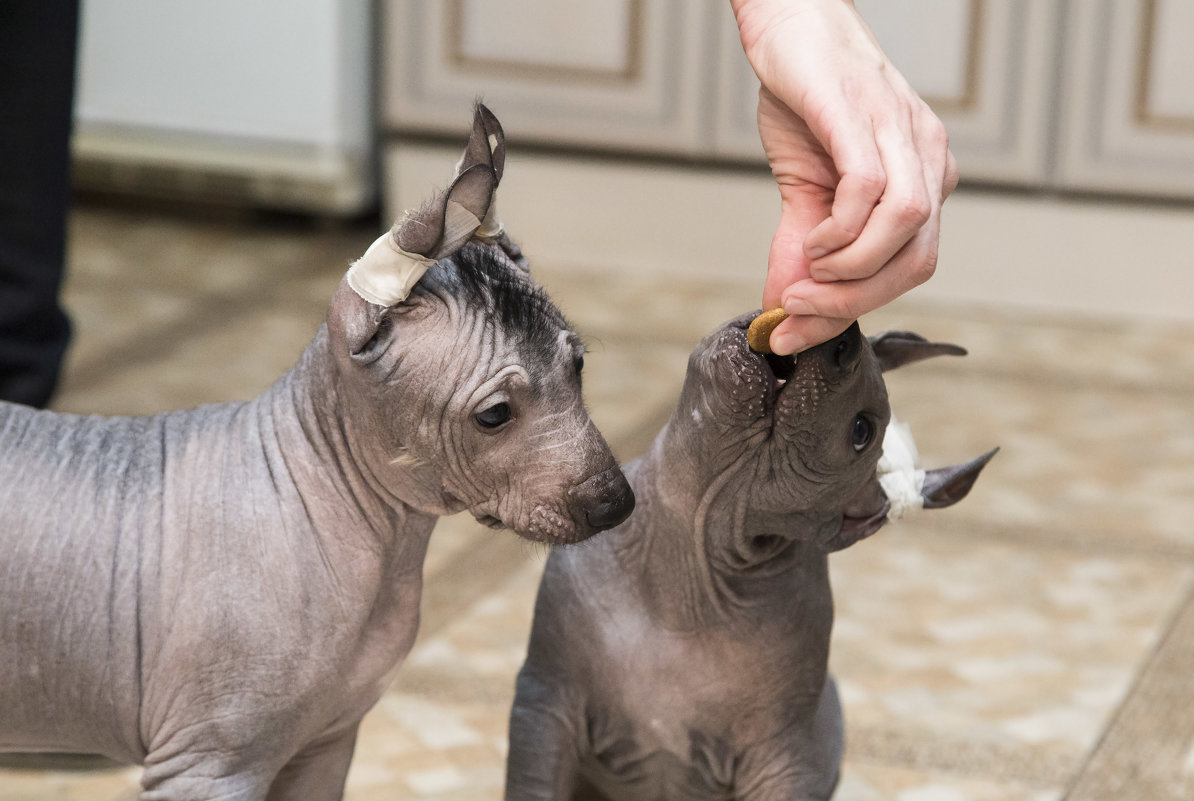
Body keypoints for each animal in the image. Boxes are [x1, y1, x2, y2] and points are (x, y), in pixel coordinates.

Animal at [0, 106, 635, 801]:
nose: (618, 503)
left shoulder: (326, 746)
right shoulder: (207, 766)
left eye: (577, 368)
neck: (380, 545)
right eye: (494, 415)